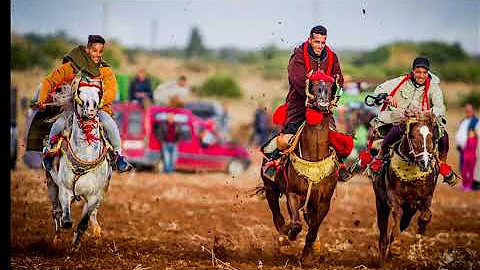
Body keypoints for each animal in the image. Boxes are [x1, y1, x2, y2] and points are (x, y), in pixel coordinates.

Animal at [45, 74, 112, 251]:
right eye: (80, 90)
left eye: (98, 92)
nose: (91, 108)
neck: (85, 155)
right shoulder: (65, 190)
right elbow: (67, 219)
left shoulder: (94, 196)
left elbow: (83, 223)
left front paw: (76, 244)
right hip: (51, 183)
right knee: (56, 212)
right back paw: (57, 239)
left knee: (93, 215)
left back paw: (96, 232)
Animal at [260, 74, 344, 264]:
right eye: (312, 84)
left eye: (331, 86)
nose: (322, 100)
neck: (314, 156)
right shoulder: (293, 194)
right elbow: (297, 224)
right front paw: (290, 234)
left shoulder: (323, 203)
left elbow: (312, 231)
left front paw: (306, 256)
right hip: (270, 188)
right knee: (277, 215)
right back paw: (284, 238)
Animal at [372, 110, 442, 266]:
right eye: (413, 136)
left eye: (431, 137)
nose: (424, 162)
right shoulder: (393, 196)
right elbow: (396, 212)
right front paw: (396, 247)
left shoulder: (425, 197)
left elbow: (426, 216)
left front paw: (417, 249)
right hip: (381, 203)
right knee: (383, 230)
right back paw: (384, 257)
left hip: (410, 209)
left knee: (403, 223)